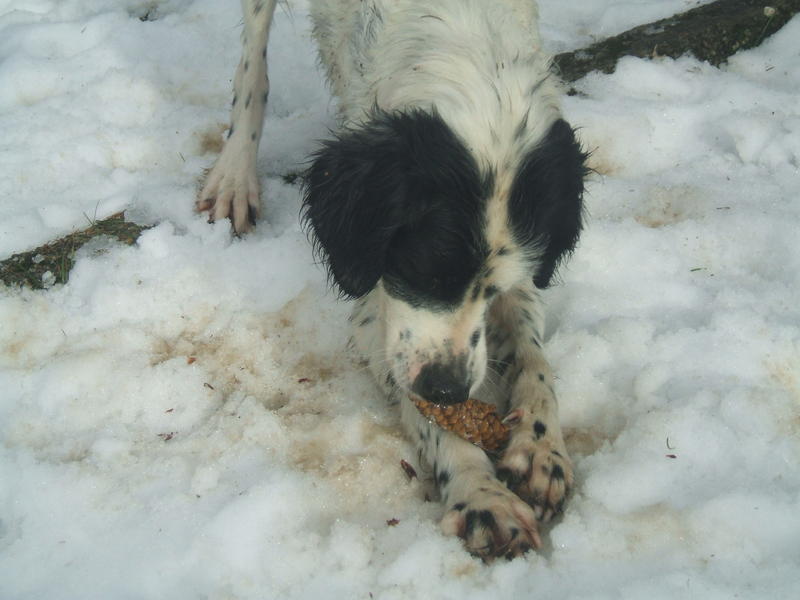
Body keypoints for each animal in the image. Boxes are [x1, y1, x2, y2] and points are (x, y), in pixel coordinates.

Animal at [198, 1, 592, 564]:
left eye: (494, 287)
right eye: (424, 269)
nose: (447, 388)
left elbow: (534, 358)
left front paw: (540, 448)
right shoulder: (376, 306)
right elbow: (427, 413)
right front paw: (481, 496)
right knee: (253, 62)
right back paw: (235, 174)